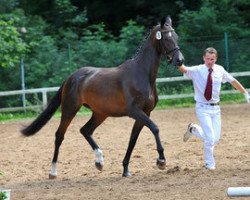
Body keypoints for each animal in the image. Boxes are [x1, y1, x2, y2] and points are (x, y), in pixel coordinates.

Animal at [21, 16, 184, 177]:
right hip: (70, 109)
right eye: (166, 38)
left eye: (176, 36)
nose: (179, 60)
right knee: (59, 135)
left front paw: (126, 170)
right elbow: (155, 128)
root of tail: (71, 77)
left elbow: (133, 139)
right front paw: (161, 161)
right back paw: (53, 172)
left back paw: (99, 161)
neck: (142, 73)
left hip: (100, 114)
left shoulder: (145, 113)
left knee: (85, 130)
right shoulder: (135, 112)